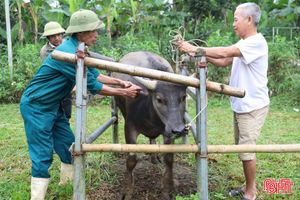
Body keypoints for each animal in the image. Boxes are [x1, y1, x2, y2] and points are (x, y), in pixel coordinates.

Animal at [112, 50, 188, 199]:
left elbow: (169, 159)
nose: (179, 130)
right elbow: (131, 160)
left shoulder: (167, 131)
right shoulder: (129, 127)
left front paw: (167, 191)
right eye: (159, 99)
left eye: (183, 97)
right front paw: (127, 192)